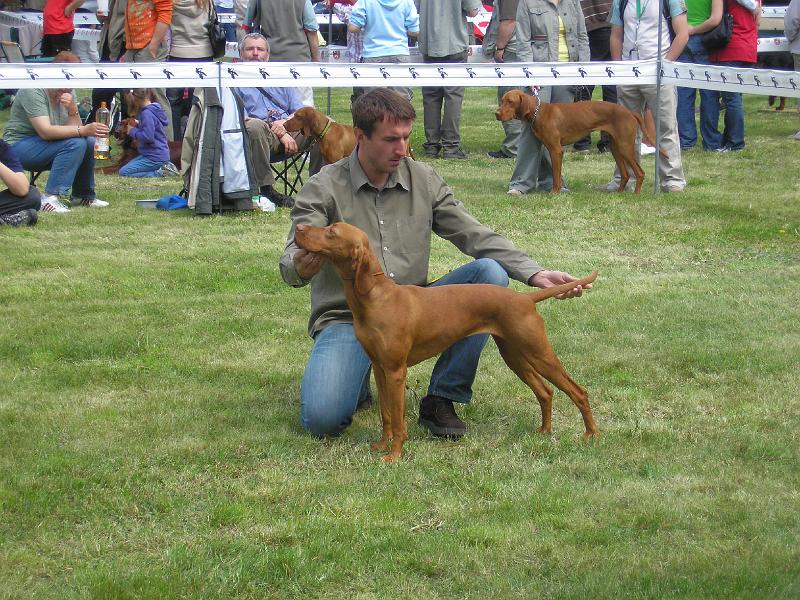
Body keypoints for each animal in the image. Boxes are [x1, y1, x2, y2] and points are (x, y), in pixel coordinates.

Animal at [290, 223, 596, 462]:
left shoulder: (396, 371)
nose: (299, 227)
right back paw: (545, 431)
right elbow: (386, 414)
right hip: (515, 355)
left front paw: (395, 455)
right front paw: (381, 445)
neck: (376, 298)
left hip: (538, 352)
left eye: (331, 232)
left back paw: (591, 434)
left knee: (578, 391)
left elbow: (398, 419)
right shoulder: (379, 368)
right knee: (545, 392)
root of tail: (524, 298)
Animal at [496, 89, 664, 193]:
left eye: (510, 101)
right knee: (625, 174)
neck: (539, 112)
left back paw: (636, 194)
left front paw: (554, 192)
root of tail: (629, 112)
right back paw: (619, 193)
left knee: (640, 172)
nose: (496, 113)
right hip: (615, 148)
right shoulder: (549, 149)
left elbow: (556, 176)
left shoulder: (556, 150)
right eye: (502, 100)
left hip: (624, 147)